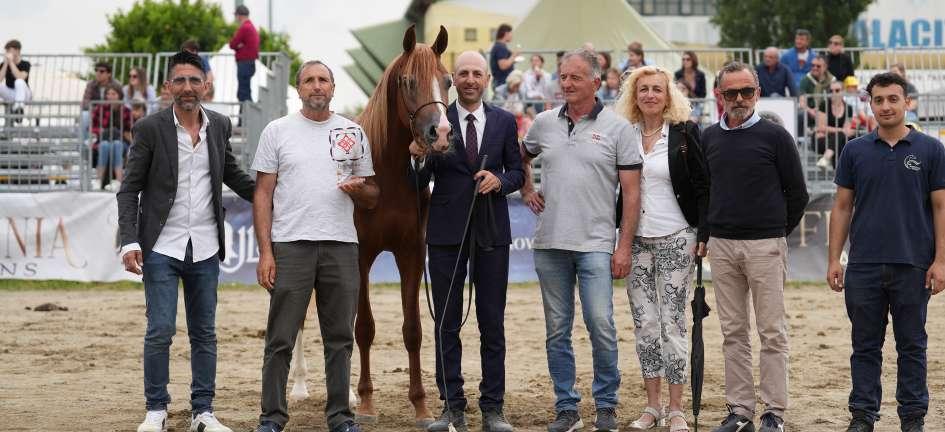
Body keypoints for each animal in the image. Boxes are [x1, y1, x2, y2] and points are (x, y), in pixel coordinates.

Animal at [286, 24, 453, 428]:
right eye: (409, 81)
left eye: (448, 80)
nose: (440, 133)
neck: (387, 175)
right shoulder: (359, 256)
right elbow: (363, 328)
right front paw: (364, 404)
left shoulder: (411, 254)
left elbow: (413, 330)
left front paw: (420, 405)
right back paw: (299, 386)